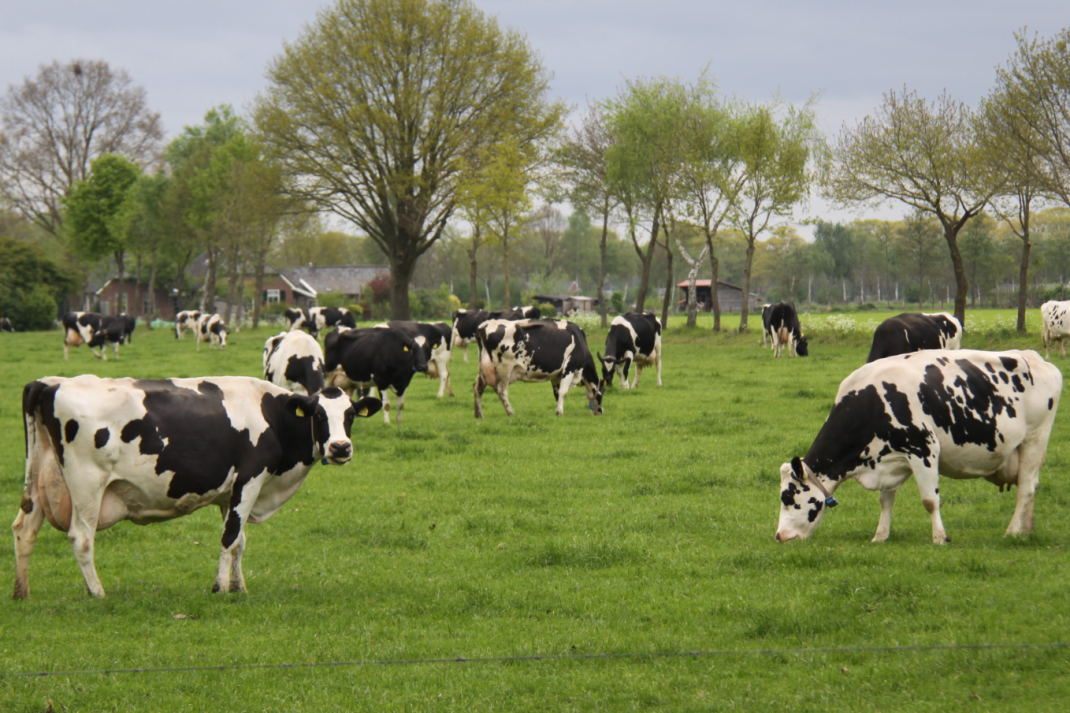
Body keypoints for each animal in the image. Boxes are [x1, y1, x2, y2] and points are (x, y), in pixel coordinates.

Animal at [13, 375, 382, 599]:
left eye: (350, 415)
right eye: (318, 415)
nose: (340, 448)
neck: (273, 415)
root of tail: (51, 383)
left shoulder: (230, 493)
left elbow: (240, 541)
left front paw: (239, 587)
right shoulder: (250, 478)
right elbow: (230, 538)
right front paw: (220, 588)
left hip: (41, 482)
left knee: (23, 529)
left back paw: (21, 592)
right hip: (87, 484)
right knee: (81, 537)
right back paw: (97, 593)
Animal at [474, 319, 605, 418]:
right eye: (603, 392)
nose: (600, 411)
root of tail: (485, 324)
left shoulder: (557, 375)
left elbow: (557, 393)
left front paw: (557, 410)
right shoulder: (570, 367)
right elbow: (563, 392)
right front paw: (560, 412)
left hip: (484, 368)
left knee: (478, 387)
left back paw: (479, 414)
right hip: (504, 368)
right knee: (501, 390)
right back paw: (511, 412)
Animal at [775, 349, 1062, 545]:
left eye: (787, 497)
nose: (780, 536)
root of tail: (1035, 357)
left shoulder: (923, 449)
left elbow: (929, 500)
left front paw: (939, 538)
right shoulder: (890, 458)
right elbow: (885, 500)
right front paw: (880, 535)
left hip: (1035, 438)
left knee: (1025, 488)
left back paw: (1011, 532)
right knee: (1031, 485)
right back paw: (1026, 530)